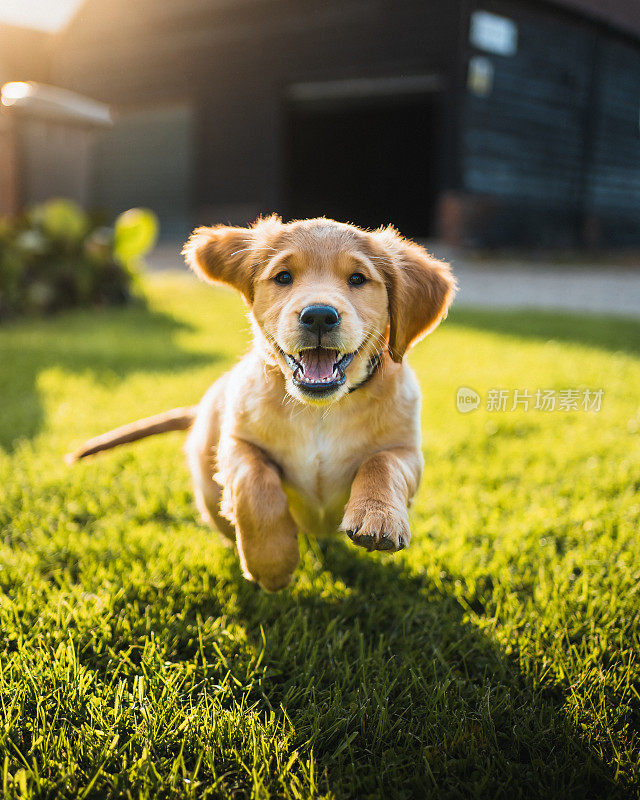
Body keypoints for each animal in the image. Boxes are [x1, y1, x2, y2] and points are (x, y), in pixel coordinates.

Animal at [69, 216, 456, 592]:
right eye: (283, 276)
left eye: (358, 279)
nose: (319, 316)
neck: (320, 411)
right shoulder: (237, 443)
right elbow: (256, 485)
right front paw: (271, 564)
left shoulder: (406, 451)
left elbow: (381, 464)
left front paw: (378, 517)